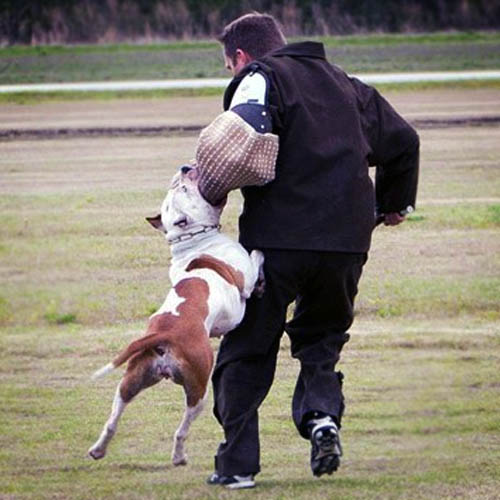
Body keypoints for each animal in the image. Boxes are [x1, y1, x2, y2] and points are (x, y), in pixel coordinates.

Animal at [88, 166, 264, 466]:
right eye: (184, 189)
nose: (185, 169)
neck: (192, 239)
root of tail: (164, 334)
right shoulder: (245, 278)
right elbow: (254, 258)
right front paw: (260, 256)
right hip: (198, 387)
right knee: (182, 428)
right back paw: (179, 456)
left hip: (131, 380)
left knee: (113, 418)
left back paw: (98, 449)